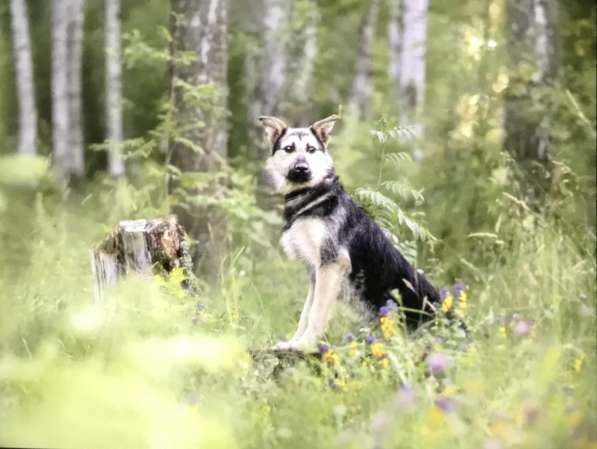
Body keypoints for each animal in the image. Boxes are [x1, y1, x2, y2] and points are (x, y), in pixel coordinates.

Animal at [258, 114, 440, 352]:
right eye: (289, 149)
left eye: (311, 149)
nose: (302, 168)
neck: (311, 197)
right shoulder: (315, 273)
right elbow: (305, 314)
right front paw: (293, 343)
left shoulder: (331, 265)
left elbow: (316, 314)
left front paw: (305, 345)